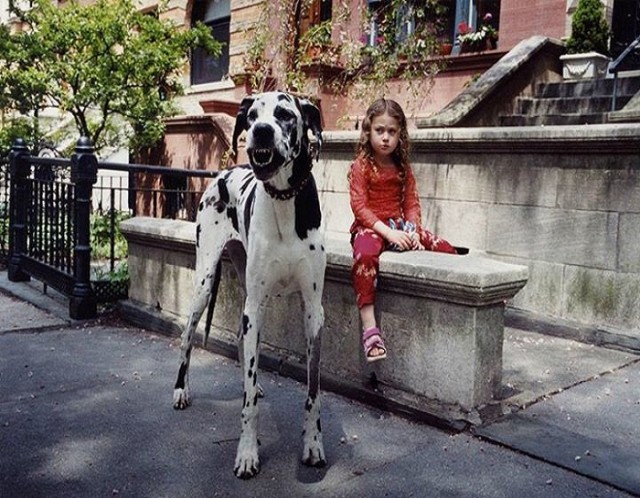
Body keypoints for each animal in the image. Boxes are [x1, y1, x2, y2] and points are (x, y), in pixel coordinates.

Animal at [172, 91, 328, 476]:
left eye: (285, 114)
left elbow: (313, 391)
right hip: (205, 283)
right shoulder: (254, 307)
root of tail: (226, 171)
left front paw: (313, 444)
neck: (285, 201)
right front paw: (246, 452)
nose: (260, 132)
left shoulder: (312, 312)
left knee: (244, 345)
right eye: (253, 115)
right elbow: (247, 405)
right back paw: (181, 390)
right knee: (186, 337)